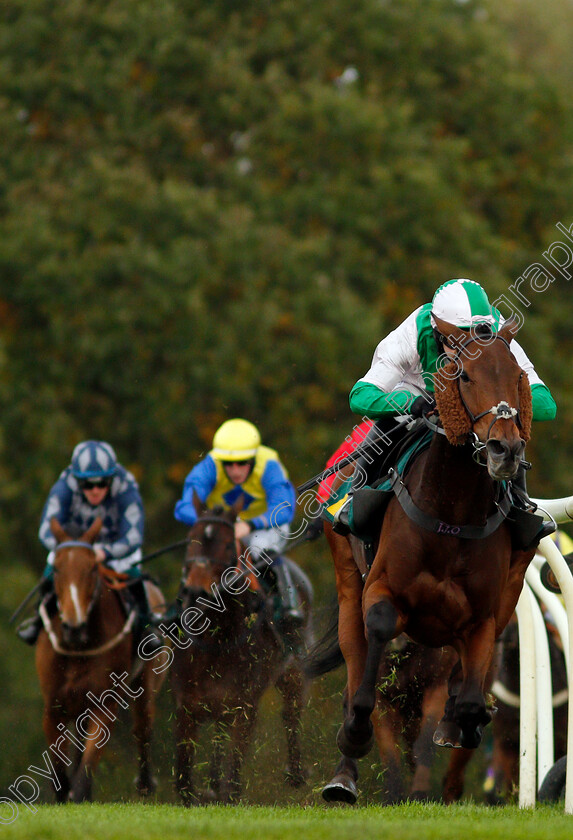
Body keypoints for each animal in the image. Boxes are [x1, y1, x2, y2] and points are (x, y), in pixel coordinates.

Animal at [35, 520, 165, 800]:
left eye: (93, 567)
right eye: (57, 568)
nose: (73, 626)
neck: (79, 646)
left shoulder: (104, 704)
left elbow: (85, 770)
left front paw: (80, 794)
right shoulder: (52, 707)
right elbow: (59, 773)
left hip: (147, 682)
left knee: (143, 727)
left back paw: (145, 784)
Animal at [170, 502, 312, 804]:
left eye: (226, 544)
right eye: (190, 540)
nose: (195, 592)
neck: (216, 637)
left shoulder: (245, 706)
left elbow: (233, 777)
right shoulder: (186, 704)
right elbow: (184, 779)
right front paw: (203, 791)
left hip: (294, 668)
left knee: (291, 713)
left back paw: (296, 773)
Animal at [312, 316, 540, 800]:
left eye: (518, 376)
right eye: (464, 376)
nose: (505, 450)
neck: (451, 512)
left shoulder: (480, 615)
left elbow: (468, 694)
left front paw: (463, 722)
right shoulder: (382, 589)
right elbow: (376, 646)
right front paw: (356, 734)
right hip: (346, 575)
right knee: (354, 655)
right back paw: (344, 773)